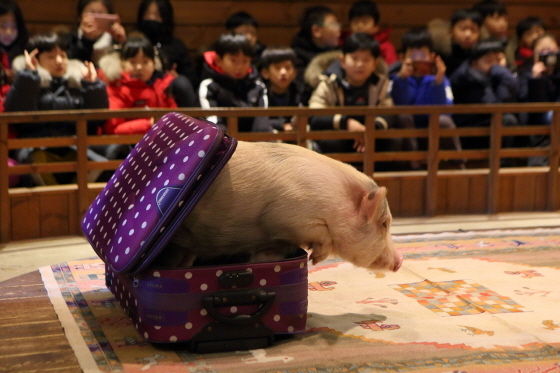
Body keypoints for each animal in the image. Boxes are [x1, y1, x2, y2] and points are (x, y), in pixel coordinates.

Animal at [158, 140, 402, 270]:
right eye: (384, 223)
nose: (400, 261)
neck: (334, 199)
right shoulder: (289, 215)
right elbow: (321, 235)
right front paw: (314, 259)